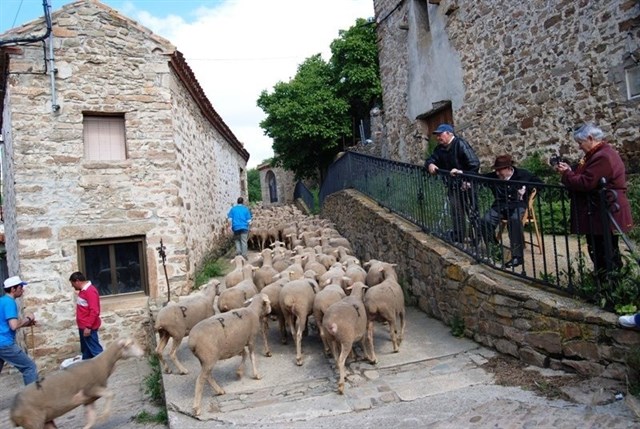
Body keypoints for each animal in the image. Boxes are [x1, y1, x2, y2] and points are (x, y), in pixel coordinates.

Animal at [10, 338, 143, 429]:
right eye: (131, 344)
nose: (142, 353)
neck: (102, 364)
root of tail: (14, 412)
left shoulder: (89, 399)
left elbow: (91, 419)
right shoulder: (90, 388)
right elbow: (110, 394)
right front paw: (104, 415)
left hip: (45, 420)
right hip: (33, 421)